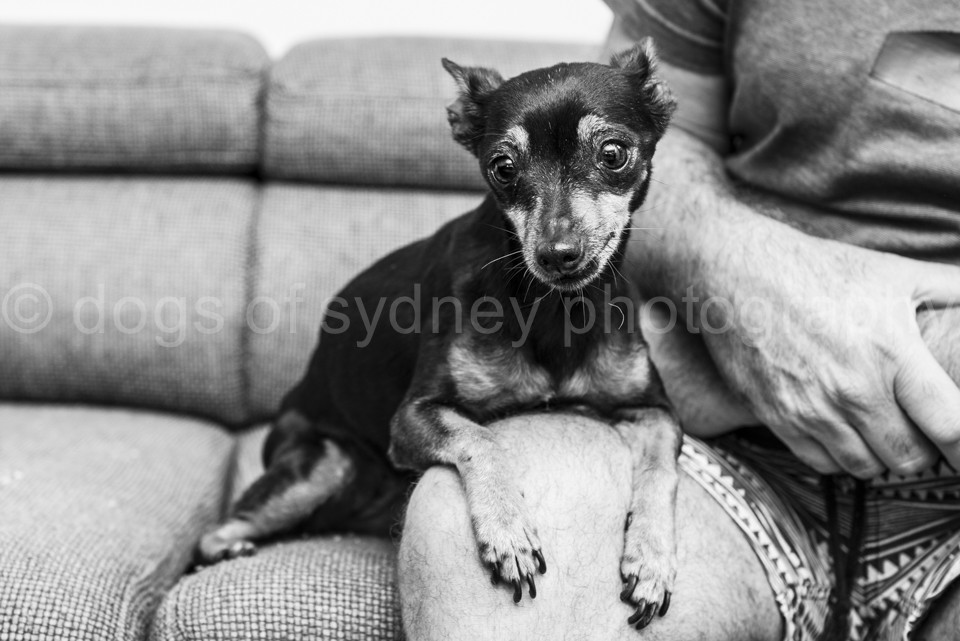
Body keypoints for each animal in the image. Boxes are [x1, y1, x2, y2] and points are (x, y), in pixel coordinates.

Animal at [199, 38, 680, 630]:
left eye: (613, 154)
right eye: (502, 167)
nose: (557, 254)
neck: (554, 308)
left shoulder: (655, 410)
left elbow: (661, 470)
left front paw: (652, 560)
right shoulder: (411, 417)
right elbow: (483, 437)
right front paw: (508, 531)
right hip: (323, 463)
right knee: (212, 534)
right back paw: (230, 546)